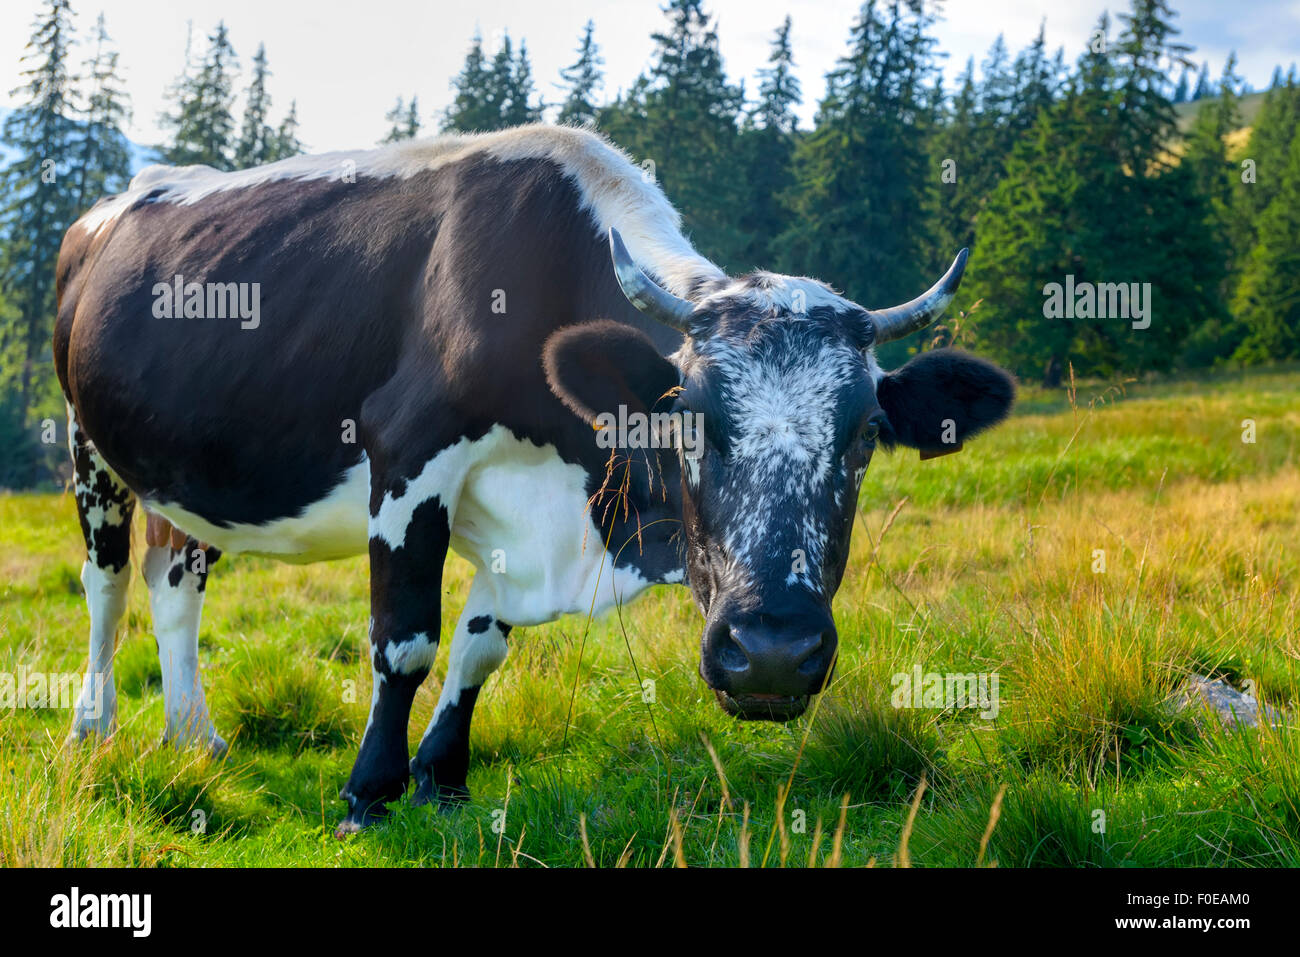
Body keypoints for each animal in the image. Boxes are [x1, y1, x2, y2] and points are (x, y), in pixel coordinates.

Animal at [54, 124, 1014, 832]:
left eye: (865, 435)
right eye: (690, 420)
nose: (773, 652)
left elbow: (479, 646)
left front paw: (442, 781)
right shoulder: (409, 458)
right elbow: (405, 642)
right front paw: (369, 792)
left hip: (184, 473)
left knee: (176, 584)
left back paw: (196, 737)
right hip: (86, 444)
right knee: (107, 585)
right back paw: (92, 727)